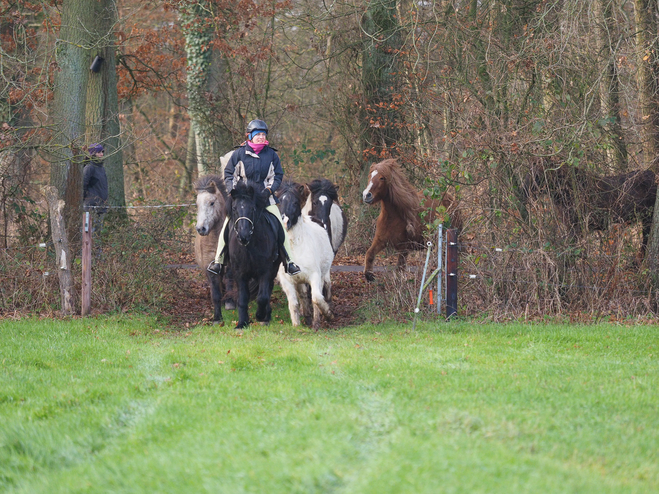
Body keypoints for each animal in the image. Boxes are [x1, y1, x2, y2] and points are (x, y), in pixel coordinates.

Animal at [227, 179, 284, 330]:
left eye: (252, 209)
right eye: (234, 209)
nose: (243, 236)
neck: (249, 247)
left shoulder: (265, 271)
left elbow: (262, 297)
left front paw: (260, 315)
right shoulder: (239, 273)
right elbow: (242, 298)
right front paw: (242, 323)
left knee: (267, 290)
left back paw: (266, 317)